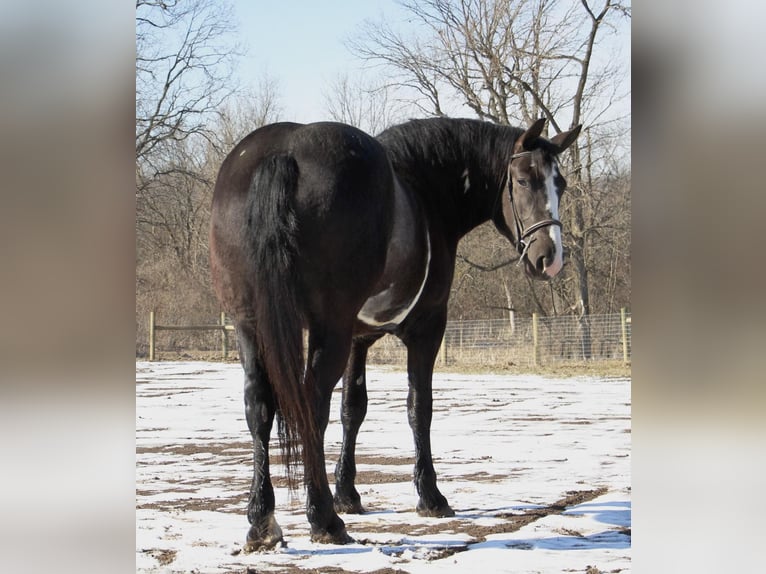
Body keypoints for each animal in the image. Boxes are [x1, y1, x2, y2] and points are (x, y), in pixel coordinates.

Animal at [210, 115, 584, 552]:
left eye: (561, 184)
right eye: (523, 180)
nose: (550, 258)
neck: (425, 191)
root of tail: (284, 151)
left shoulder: (358, 338)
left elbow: (353, 409)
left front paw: (349, 493)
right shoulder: (426, 328)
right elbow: (419, 407)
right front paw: (430, 495)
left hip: (250, 326)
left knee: (260, 407)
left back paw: (262, 520)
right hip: (326, 328)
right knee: (310, 406)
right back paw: (324, 520)